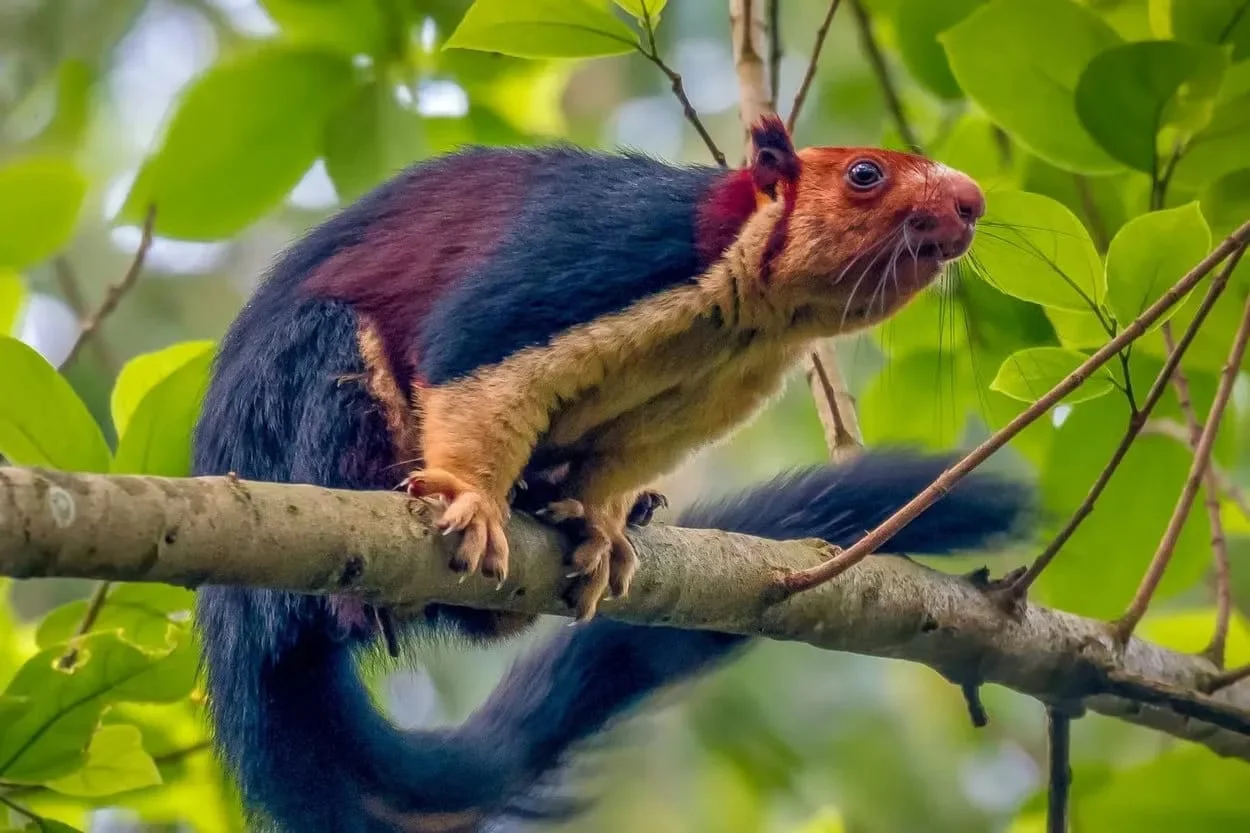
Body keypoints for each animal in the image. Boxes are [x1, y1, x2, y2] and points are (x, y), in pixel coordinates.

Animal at [192, 115, 1031, 833]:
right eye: (865, 173)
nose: (972, 201)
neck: (750, 311)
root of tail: (235, 623)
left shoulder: (712, 392)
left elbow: (621, 458)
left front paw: (599, 524)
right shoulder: (607, 253)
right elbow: (472, 353)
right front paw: (474, 500)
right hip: (303, 399)